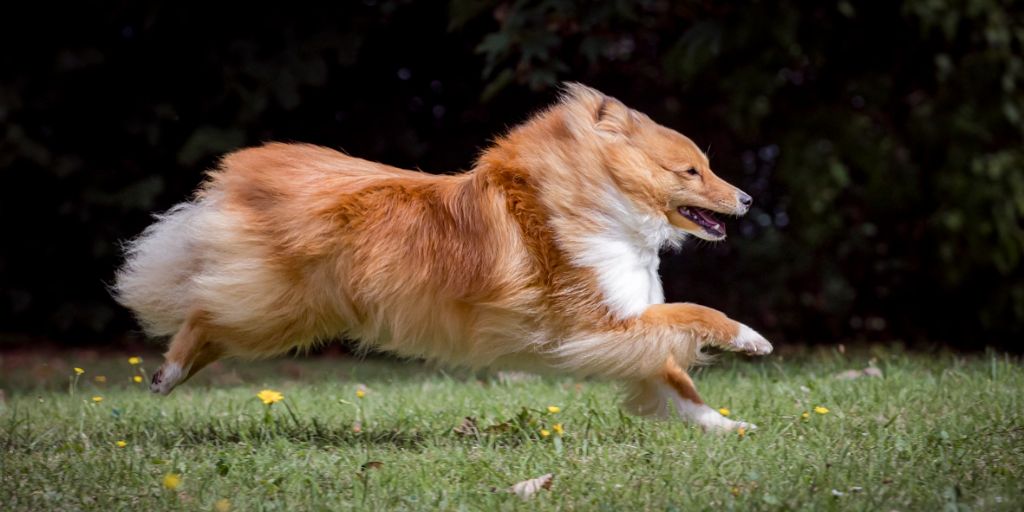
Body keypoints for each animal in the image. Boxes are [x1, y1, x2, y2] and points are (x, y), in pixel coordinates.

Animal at [114, 83, 770, 432]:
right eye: (691, 171)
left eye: (706, 166)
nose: (747, 197)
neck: (603, 200)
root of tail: (240, 172)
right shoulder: (598, 322)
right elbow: (698, 314)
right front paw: (752, 338)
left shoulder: (623, 329)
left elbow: (677, 379)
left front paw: (727, 426)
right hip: (273, 306)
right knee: (201, 312)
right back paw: (167, 372)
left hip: (295, 315)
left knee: (211, 321)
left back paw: (167, 378)